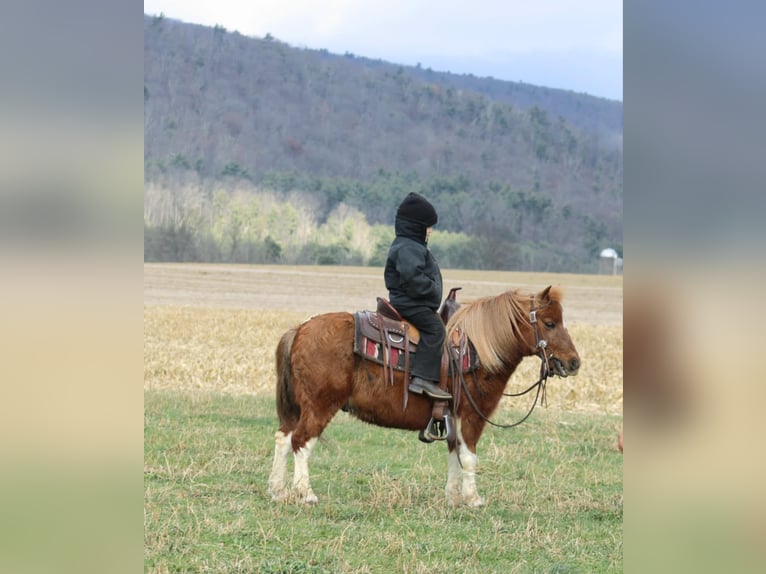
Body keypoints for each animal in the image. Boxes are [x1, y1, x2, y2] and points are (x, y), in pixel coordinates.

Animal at [270, 286, 584, 506]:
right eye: (549, 323)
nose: (573, 363)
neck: (475, 350)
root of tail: (300, 329)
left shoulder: (452, 418)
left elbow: (454, 452)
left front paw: (453, 497)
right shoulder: (472, 416)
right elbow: (469, 456)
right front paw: (473, 499)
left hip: (300, 407)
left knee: (284, 439)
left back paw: (277, 490)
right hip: (320, 405)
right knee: (301, 441)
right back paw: (305, 493)